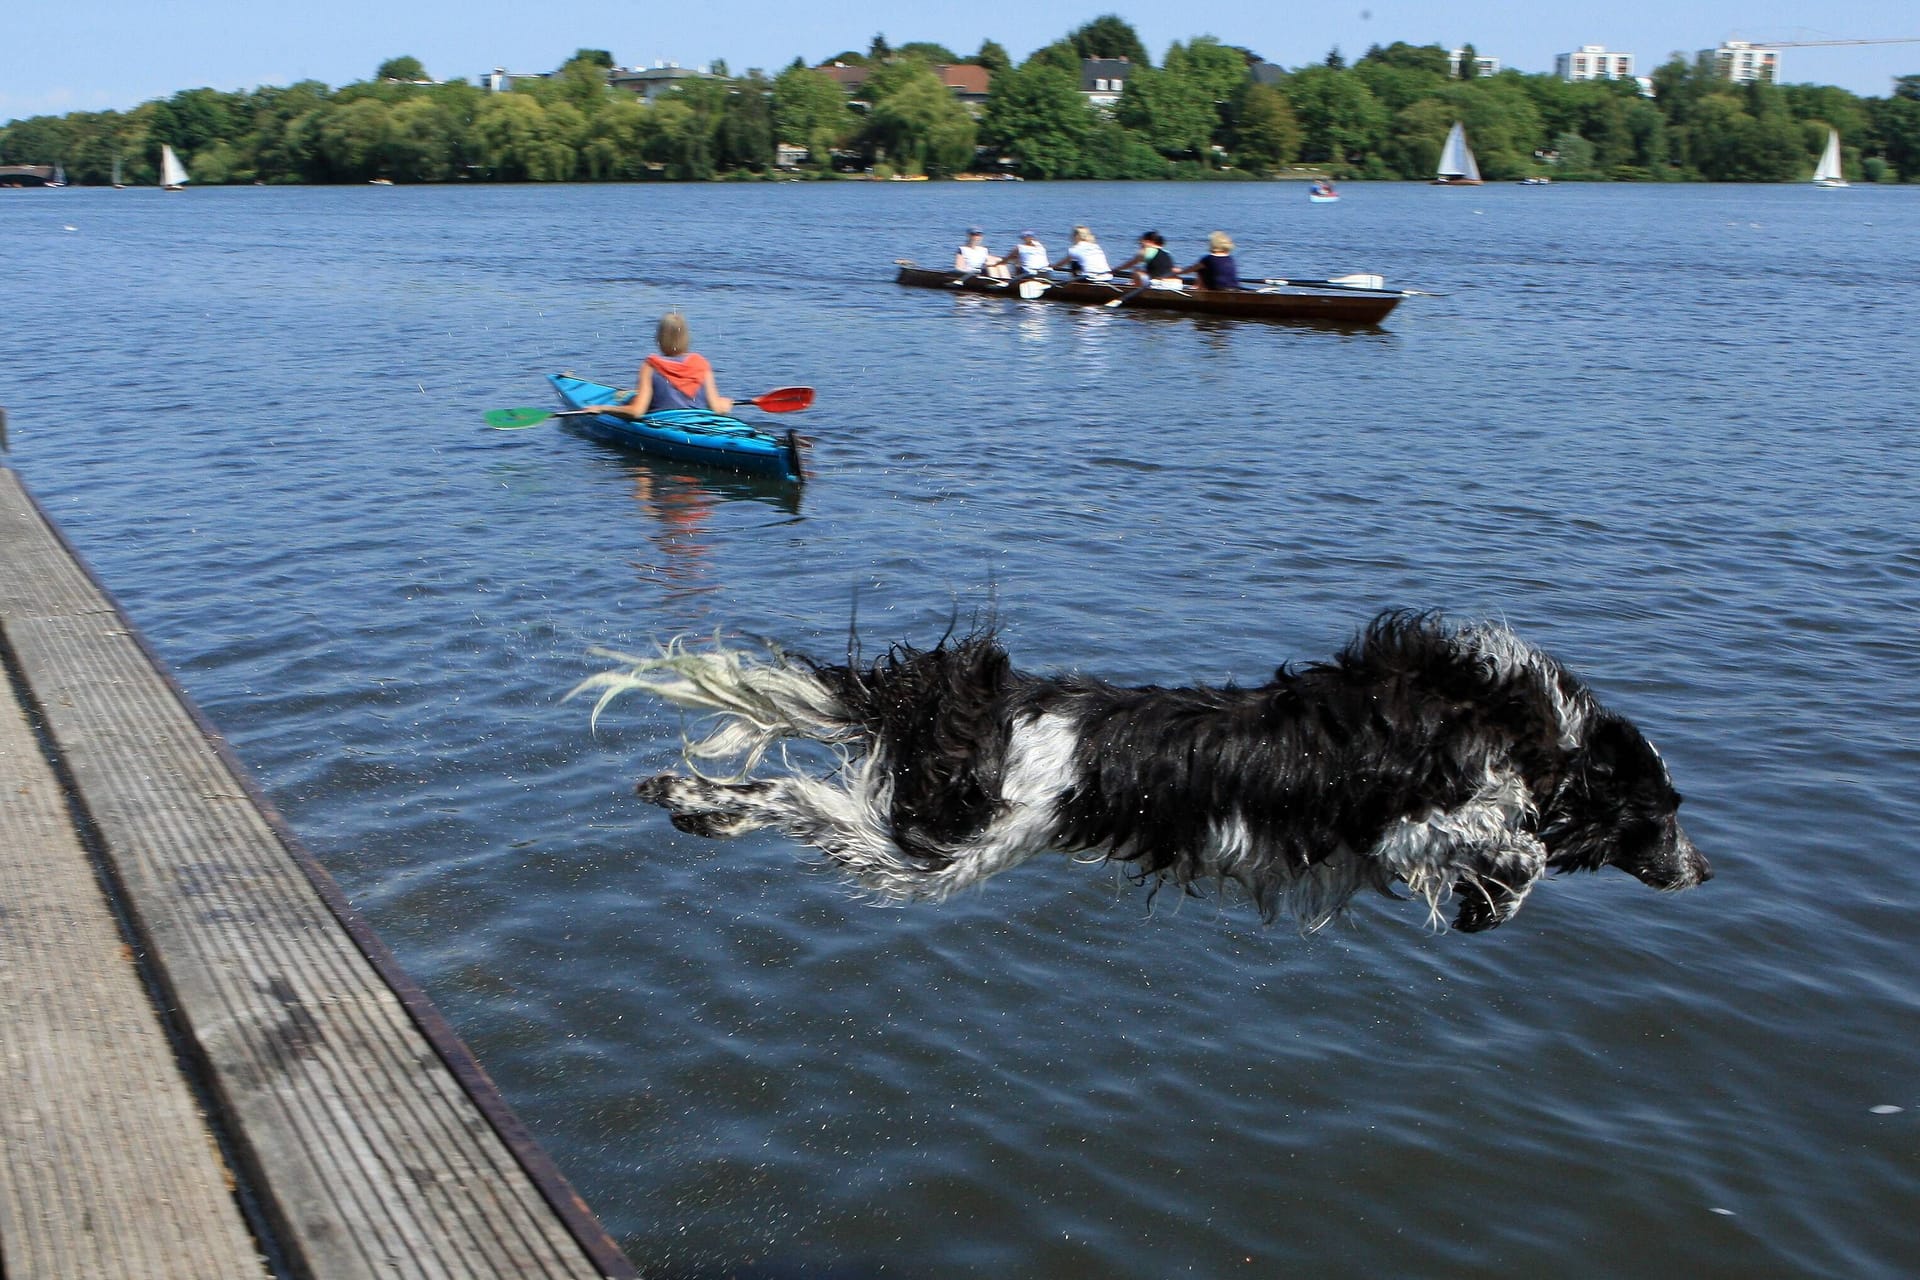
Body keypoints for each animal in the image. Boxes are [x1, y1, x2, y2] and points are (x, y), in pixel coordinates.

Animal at [579, 614, 1712, 932]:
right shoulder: (1412, 818)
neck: (1534, 733)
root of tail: (980, 701)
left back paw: (693, 805)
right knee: (804, 797)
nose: (1706, 871)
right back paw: (694, 799)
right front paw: (1499, 892)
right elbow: (1513, 846)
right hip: (940, 849)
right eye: (1664, 812)